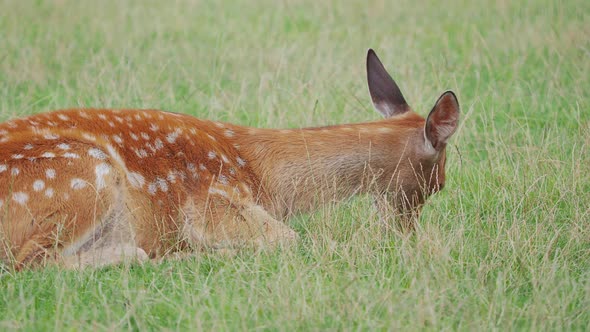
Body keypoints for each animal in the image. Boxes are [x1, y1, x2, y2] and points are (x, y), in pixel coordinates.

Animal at [0, 50, 460, 272]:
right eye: (439, 184)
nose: (407, 234)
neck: (266, 177)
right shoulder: (211, 201)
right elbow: (290, 238)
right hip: (80, 172)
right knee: (28, 265)